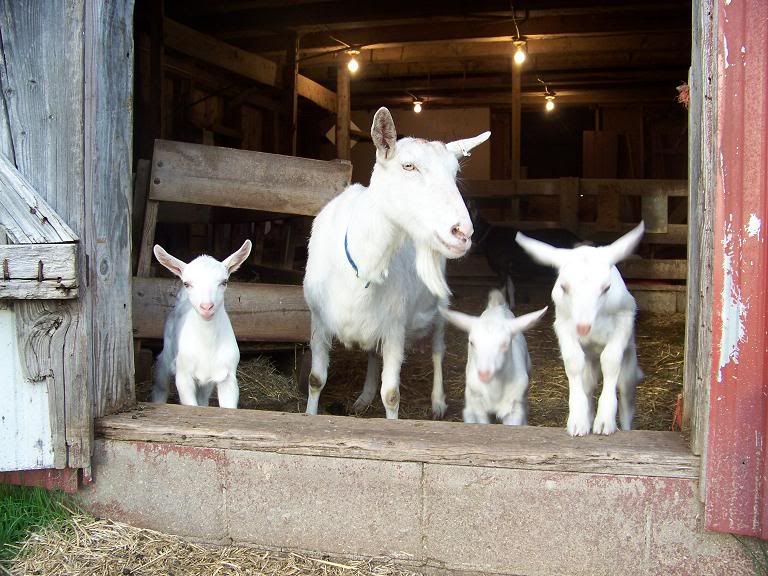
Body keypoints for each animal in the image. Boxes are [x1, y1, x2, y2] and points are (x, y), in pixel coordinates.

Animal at [152, 240, 252, 409]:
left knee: (203, 398)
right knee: (161, 382)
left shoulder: (227, 376)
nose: (206, 307)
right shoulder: (184, 376)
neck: (207, 344)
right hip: (167, 354)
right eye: (187, 283)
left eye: (224, 282)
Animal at [303, 107, 490, 419]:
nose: (463, 232)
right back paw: (364, 397)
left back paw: (437, 402)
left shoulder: (395, 329)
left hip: (438, 301)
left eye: (455, 173)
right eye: (408, 166)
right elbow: (316, 379)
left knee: (438, 348)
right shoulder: (319, 321)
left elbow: (391, 395)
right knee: (372, 352)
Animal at [441, 290, 547, 425]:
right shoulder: (478, 407)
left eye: (505, 344)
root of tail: (496, 307)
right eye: (472, 342)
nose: (484, 373)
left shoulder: (513, 409)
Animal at [515, 222, 645, 435]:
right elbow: (573, 362)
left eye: (606, 288)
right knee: (589, 384)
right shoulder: (563, 325)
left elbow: (610, 361)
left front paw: (605, 421)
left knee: (626, 394)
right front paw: (578, 420)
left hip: (629, 360)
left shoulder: (623, 322)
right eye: (564, 287)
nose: (583, 328)